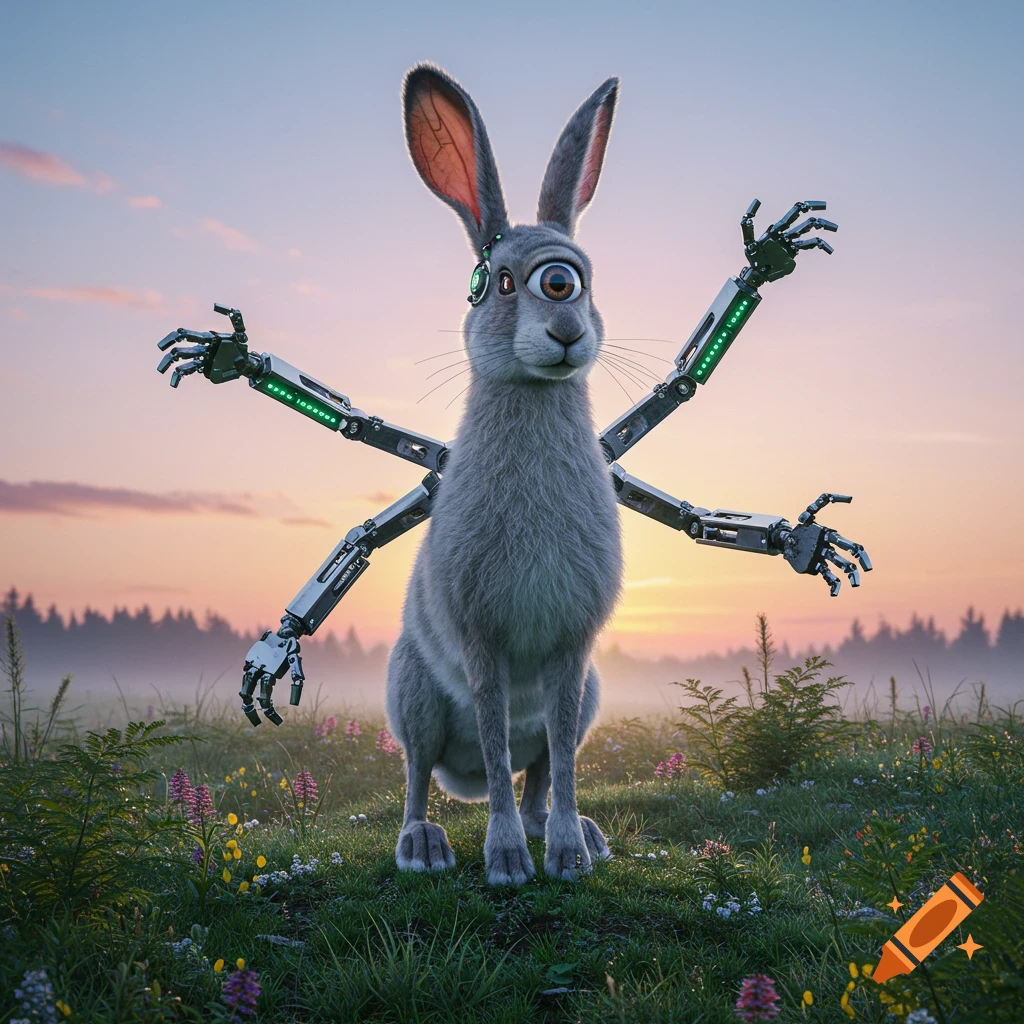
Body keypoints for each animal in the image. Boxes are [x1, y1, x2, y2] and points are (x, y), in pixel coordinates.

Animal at [384, 63, 624, 886]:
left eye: (585, 280)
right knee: (425, 774)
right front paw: (509, 862)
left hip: (587, 697)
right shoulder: (480, 638)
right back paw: (425, 845)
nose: (565, 317)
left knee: (542, 768)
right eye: (499, 281)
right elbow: (491, 735)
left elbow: (557, 760)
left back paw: (577, 835)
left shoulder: (573, 654)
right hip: (413, 695)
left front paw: (563, 857)